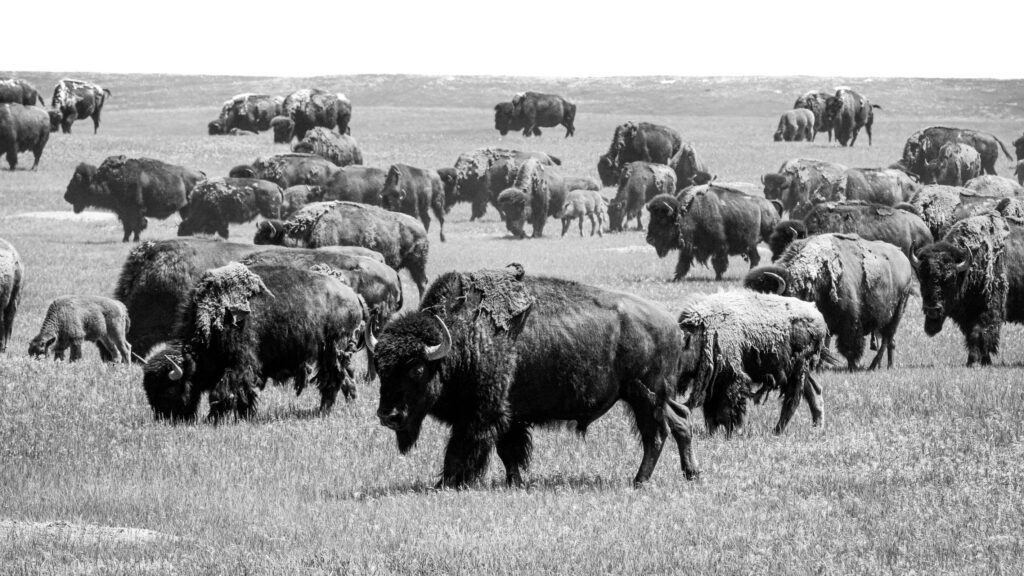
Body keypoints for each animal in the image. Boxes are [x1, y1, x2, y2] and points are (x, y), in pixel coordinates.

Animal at [64, 156, 204, 242]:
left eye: (77, 183)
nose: (66, 197)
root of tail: (200, 175)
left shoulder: (136, 210)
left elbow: (137, 225)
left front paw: (135, 239)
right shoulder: (123, 212)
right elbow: (128, 227)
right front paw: (125, 240)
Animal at [366, 264, 699, 488]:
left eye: (417, 369)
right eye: (381, 369)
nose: (388, 415)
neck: (461, 336)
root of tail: (673, 326)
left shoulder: (482, 415)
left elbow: (463, 450)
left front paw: (447, 483)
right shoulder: (509, 417)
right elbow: (508, 451)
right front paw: (514, 482)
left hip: (645, 396)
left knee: (656, 435)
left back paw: (639, 481)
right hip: (654, 396)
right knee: (680, 420)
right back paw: (691, 473)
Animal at [645, 184, 778, 281]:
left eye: (662, 219)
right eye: (651, 217)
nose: (649, 239)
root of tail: (770, 205)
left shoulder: (720, 245)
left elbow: (718, 263)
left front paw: (718, 278)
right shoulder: (689, 247)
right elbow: (683, 262)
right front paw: (676, 278)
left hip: (767, 236)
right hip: (751, 244)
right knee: (755, 258)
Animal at [746, 233, 914, 370]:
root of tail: (903, 258)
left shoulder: (850, 321)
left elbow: (849, 345)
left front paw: (852, 366)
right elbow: (825, 343)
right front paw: (819, 366)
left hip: (897, 312)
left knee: (887, 338)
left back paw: (876, 366)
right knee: (889, 340)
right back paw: (886, 365)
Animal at [913, 213, 1024, 366]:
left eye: (950, 279)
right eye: (922, 278)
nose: (932, 309)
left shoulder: (987, 312)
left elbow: (979, 333)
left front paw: (973, 361)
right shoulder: (968, 315)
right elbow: (972, 335)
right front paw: (980, 361)